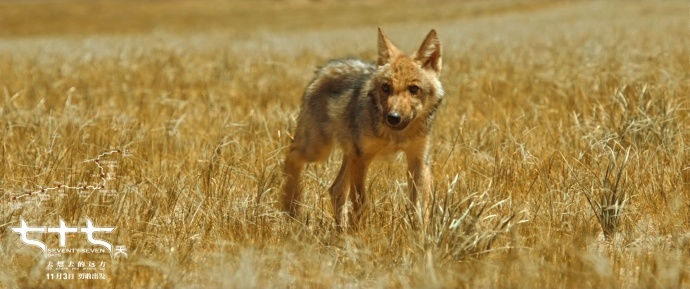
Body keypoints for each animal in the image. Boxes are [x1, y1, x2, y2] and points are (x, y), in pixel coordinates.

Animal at [282, 28, 444, 228]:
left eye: (414, 89)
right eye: (386, 87)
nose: (393, 118)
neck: (395, 136)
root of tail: (326, 68)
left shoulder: (418, 160)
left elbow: (420, 207)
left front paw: (421, 232)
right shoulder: (362, 158)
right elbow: (361, 202)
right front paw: (360, 232)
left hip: (346, 154)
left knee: (335, 189)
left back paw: (340, 229)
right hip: (319, 151)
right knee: (291, 154)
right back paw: (291, 207)